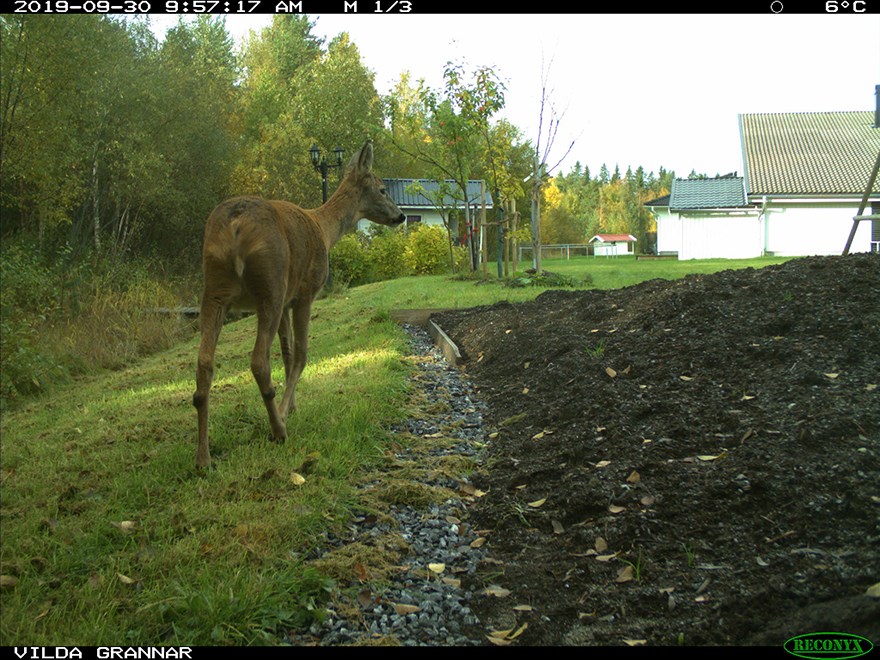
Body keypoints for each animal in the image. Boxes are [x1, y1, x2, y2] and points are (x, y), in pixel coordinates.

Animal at [192, 140, 406, 470]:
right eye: (383, 189)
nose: (402, 216)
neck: (325, 230)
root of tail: (235, 222)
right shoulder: (304, 293)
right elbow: (302, 354)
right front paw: (284, 411)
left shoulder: (287, 301)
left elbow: (288, 353)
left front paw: (290, 406)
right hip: (270, 283)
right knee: (258, 360)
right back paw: (278, 430)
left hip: (216, 289)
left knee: (205, 363)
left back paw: (204, 458)